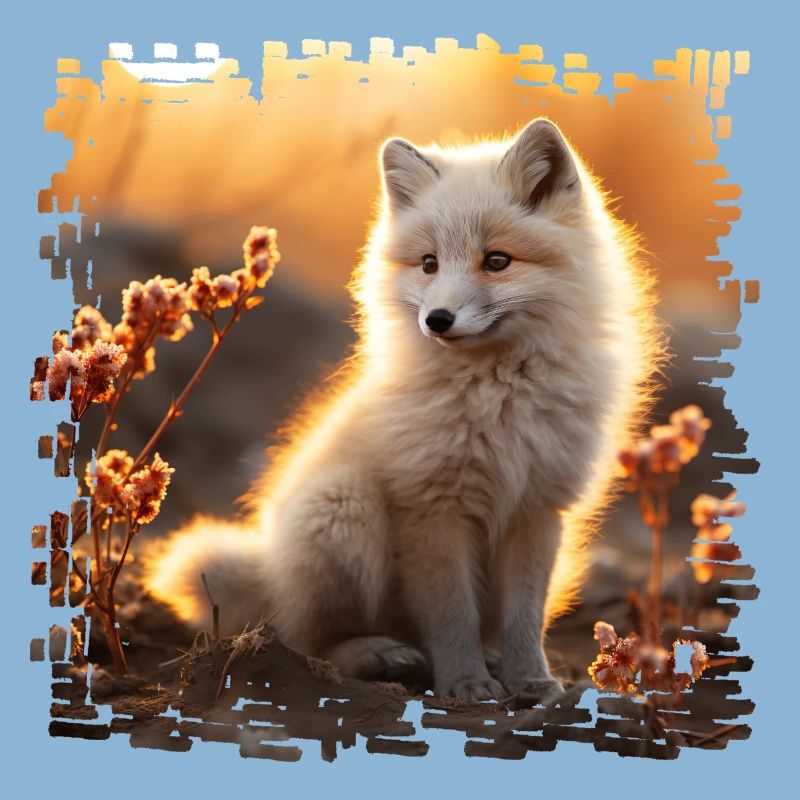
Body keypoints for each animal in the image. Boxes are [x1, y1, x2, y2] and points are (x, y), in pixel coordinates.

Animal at [145, 118, 660, 702]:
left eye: (497, 261)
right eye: (429, 263)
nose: (437, 319)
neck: (499, 399)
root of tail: (268, 572)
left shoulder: (537, 510)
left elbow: (525, 620)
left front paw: (530, 681)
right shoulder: (431, 508)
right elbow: (452, 615)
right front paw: (464, 685)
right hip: (343, 508)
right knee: (301, 639)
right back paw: (378, 657)